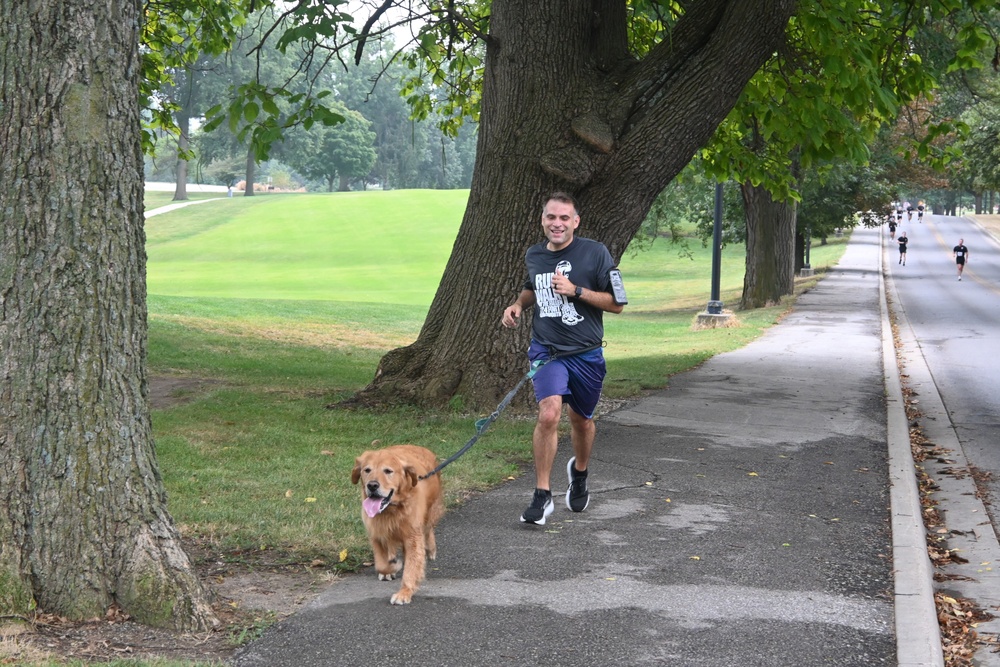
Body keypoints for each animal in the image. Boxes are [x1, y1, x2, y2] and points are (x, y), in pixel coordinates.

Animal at [352, 444, 446, 604]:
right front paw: (392, 567)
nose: (372, 485)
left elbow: (411, 566)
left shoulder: (413, 536)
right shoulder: (376, 532)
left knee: (428, 529)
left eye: (388, 471)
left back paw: (431, 549)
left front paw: (404, 593)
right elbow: (381, 564)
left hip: (431, 510)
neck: (392, 509)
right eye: (367, 470)